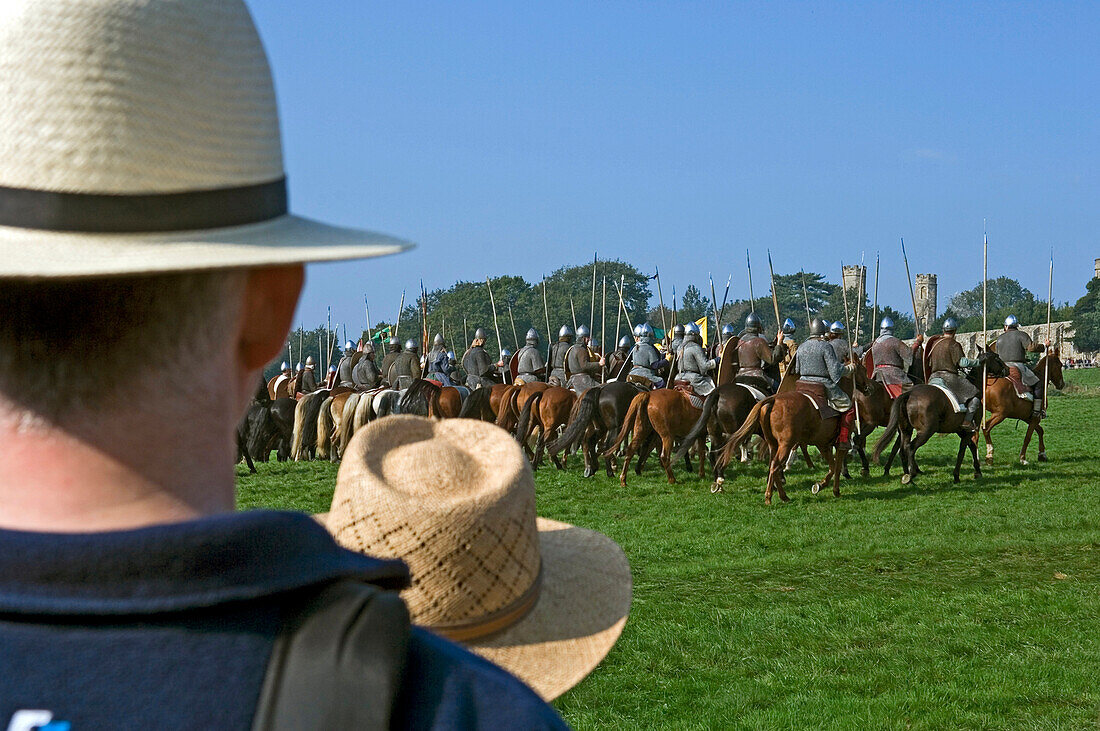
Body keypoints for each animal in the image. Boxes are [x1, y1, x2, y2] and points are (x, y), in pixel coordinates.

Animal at [871, 351, 1007, 483]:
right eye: (996, 358)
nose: (1007, 369)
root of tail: (909, 393)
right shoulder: (969, 431)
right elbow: (962, 451)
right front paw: (957, 476)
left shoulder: (961, 431)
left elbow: (972, 447)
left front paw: (977, 472)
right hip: (926, 431)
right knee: (910, 448)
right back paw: (912, 474)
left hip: (906, 430)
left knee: (902, 450)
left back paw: (906, 476)